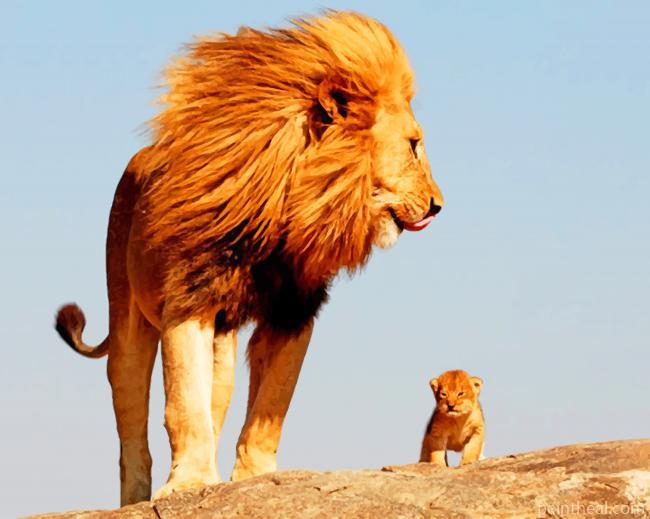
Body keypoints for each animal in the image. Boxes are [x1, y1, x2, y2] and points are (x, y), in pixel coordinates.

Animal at [55, 11, 443, 505]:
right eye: (414, 145)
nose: (438, 205)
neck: (288, 206)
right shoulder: (188, 300)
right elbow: (183, 403)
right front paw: (189, 483)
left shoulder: (294, 311)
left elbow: (271, 406)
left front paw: (252, 478)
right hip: (127, 318)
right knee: (131, 417)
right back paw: (137, 498)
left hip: (223, 345)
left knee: (215, 400)